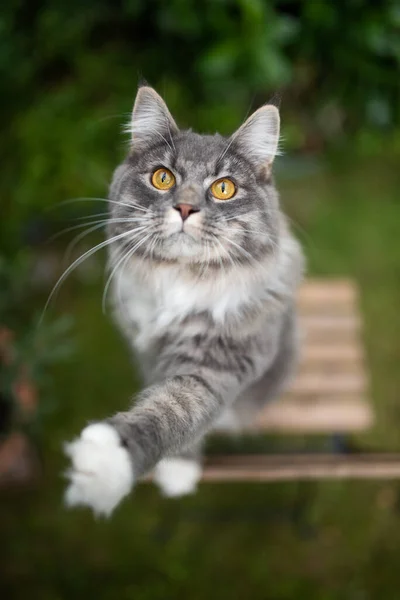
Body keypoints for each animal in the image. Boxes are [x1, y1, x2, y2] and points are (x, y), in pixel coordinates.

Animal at [64, 84, 304, 516]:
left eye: (224, 188)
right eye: (163, 178)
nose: (186, 207)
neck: (181, 277)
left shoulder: (217, 362)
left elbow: (175, 411)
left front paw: (106, 461)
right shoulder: (148, 353)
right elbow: (166, 402)